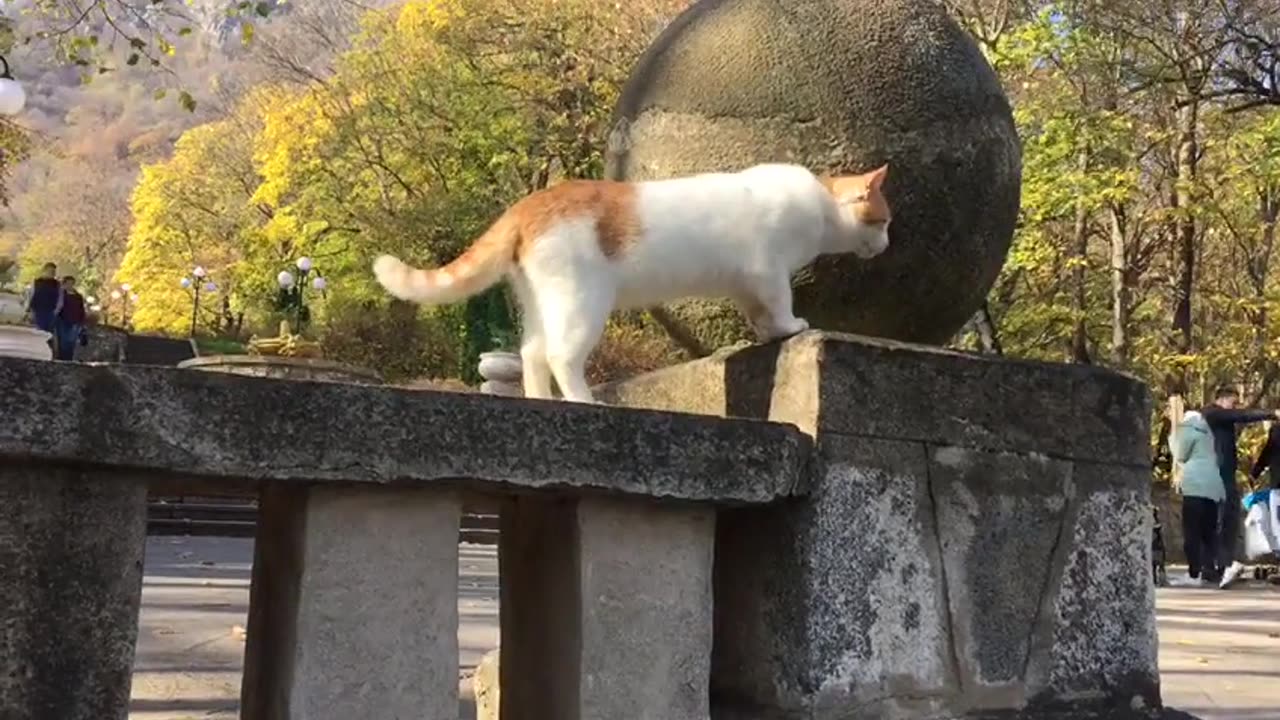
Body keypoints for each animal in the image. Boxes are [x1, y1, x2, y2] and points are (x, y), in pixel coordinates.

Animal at [371, 158, 890, 399]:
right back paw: (584, 403)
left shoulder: (748, 284)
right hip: (581, 303)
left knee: (532, 354)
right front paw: (790, 327)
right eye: (884, 221)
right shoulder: (768, 271)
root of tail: (531, 202)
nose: (887, 245)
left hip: (542, 302)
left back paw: (542, 400)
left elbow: (758, 312)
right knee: (560, 357)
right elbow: (780, 304)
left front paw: (765, 332)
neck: (820, 206)